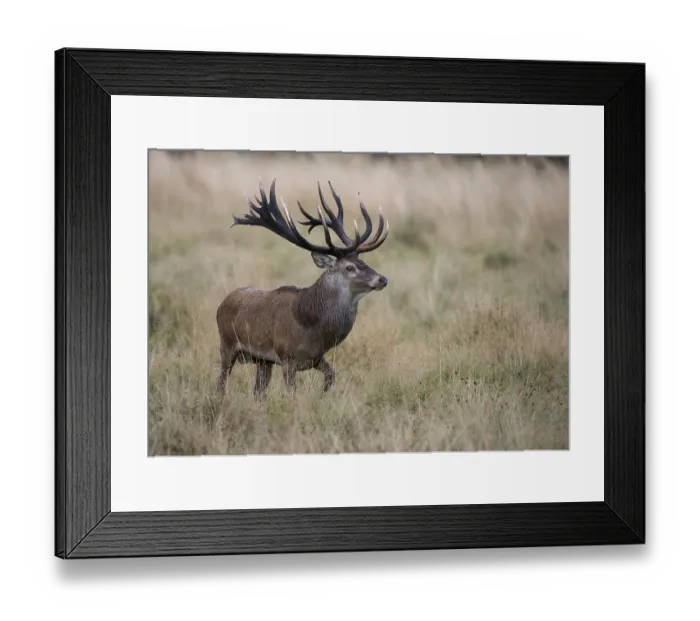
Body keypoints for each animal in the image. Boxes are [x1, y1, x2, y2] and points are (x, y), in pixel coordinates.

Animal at [216, 178, 390, 399]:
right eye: (349, 267)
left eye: (364, 262)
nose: (382, 279)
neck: (313, 328)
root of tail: (222, 304)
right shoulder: (287, 358)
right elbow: (292, 392)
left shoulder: (316, 358)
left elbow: (331, 376)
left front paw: (322, 396)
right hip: (227, 344)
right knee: (221, 383)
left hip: (264, 361)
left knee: (258, 392)